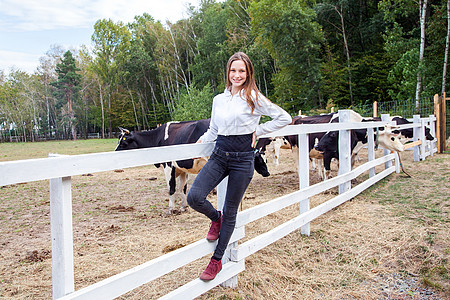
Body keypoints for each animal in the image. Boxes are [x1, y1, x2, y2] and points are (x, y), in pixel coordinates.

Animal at [116, 118, 268, 214]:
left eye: (123, 143)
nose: (115, 153)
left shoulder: (168, 166)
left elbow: (171, 188)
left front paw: (170, 210)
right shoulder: (182, 169)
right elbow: (183, 188)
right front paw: (183, 207)